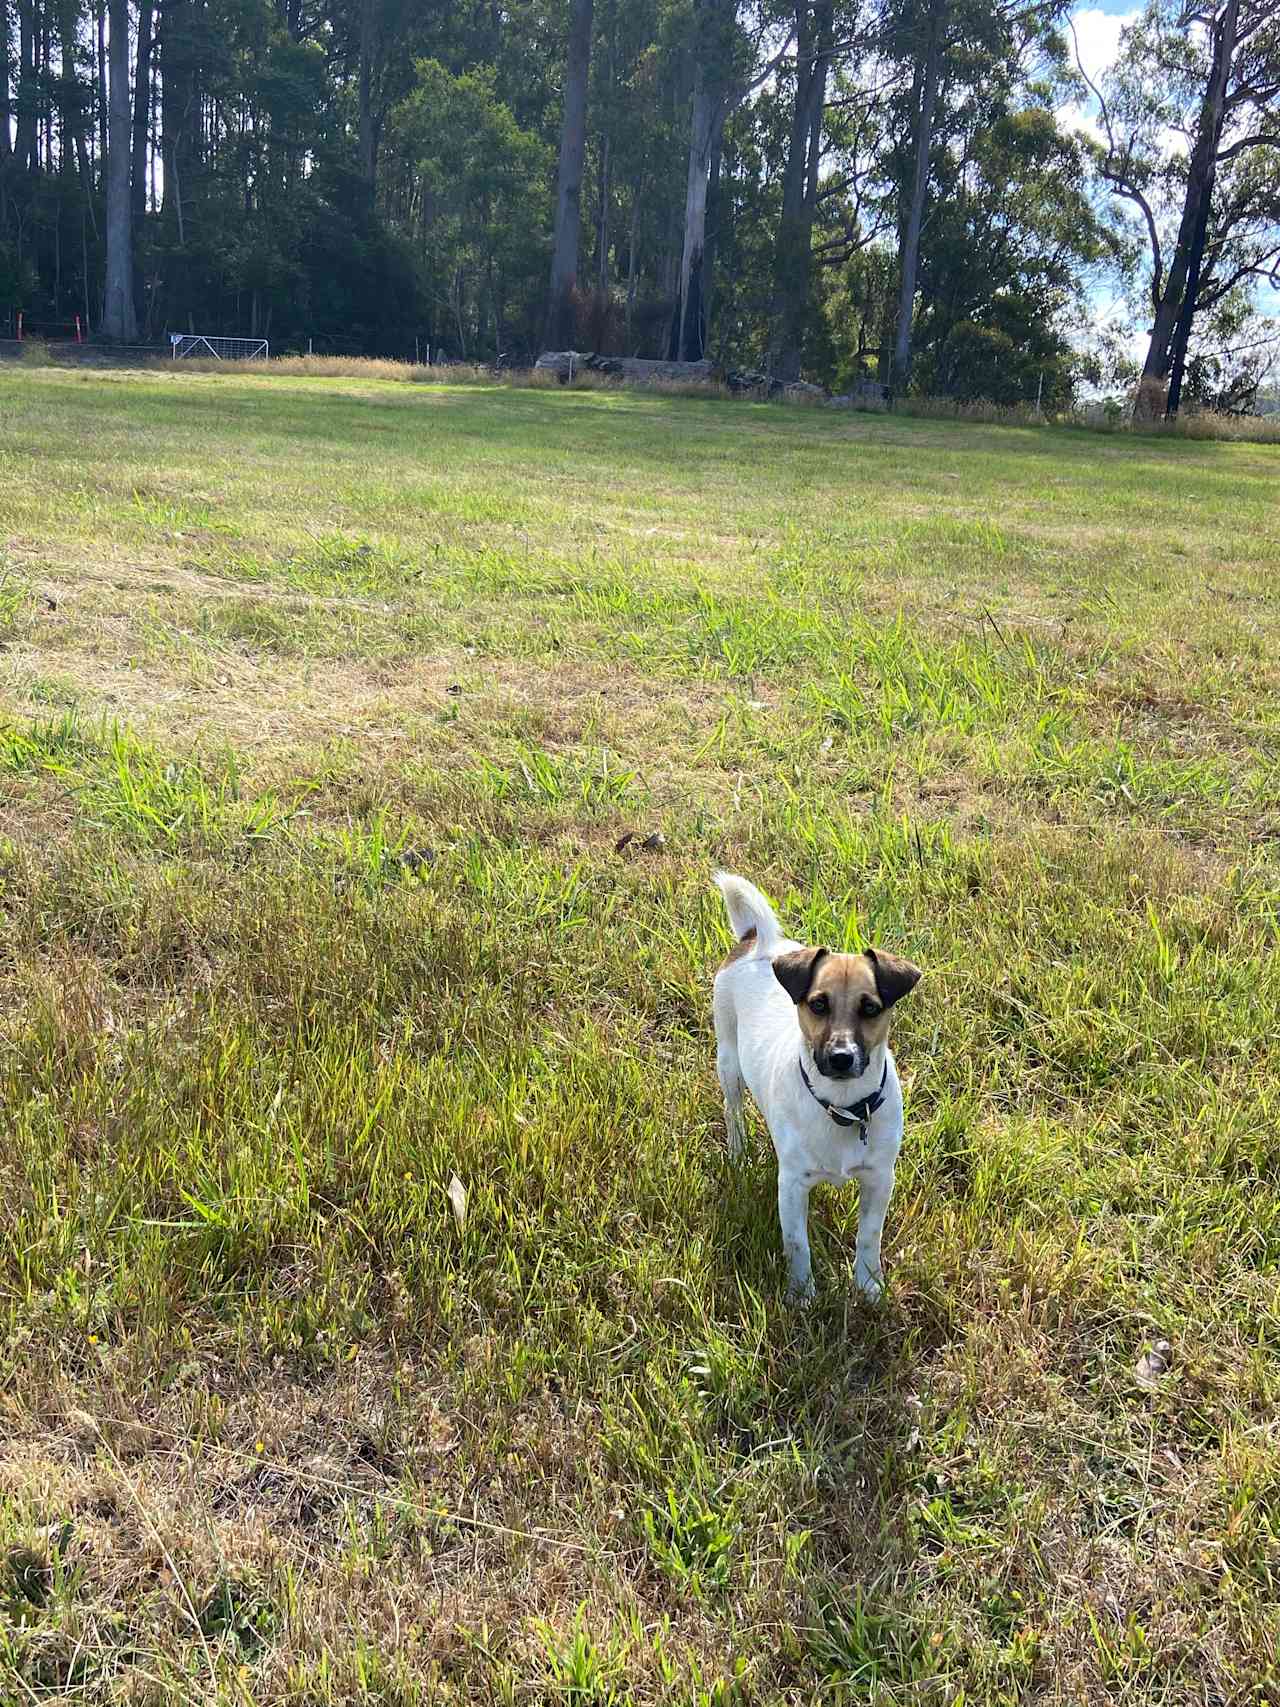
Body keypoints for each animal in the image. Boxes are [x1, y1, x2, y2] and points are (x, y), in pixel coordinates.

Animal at [713, 873, 921, 1297]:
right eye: (818, 1005)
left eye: (870, 1008)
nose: (841, 1057)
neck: (841, 1106)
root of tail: (754, 940)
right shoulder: (793, 1185)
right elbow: (797, 1244)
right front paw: (802, 1295)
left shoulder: (879, 1178)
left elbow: (869, 1236)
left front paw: (868, 1285)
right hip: (728, 1062)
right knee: (733, 1110)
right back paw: (738, 1152)